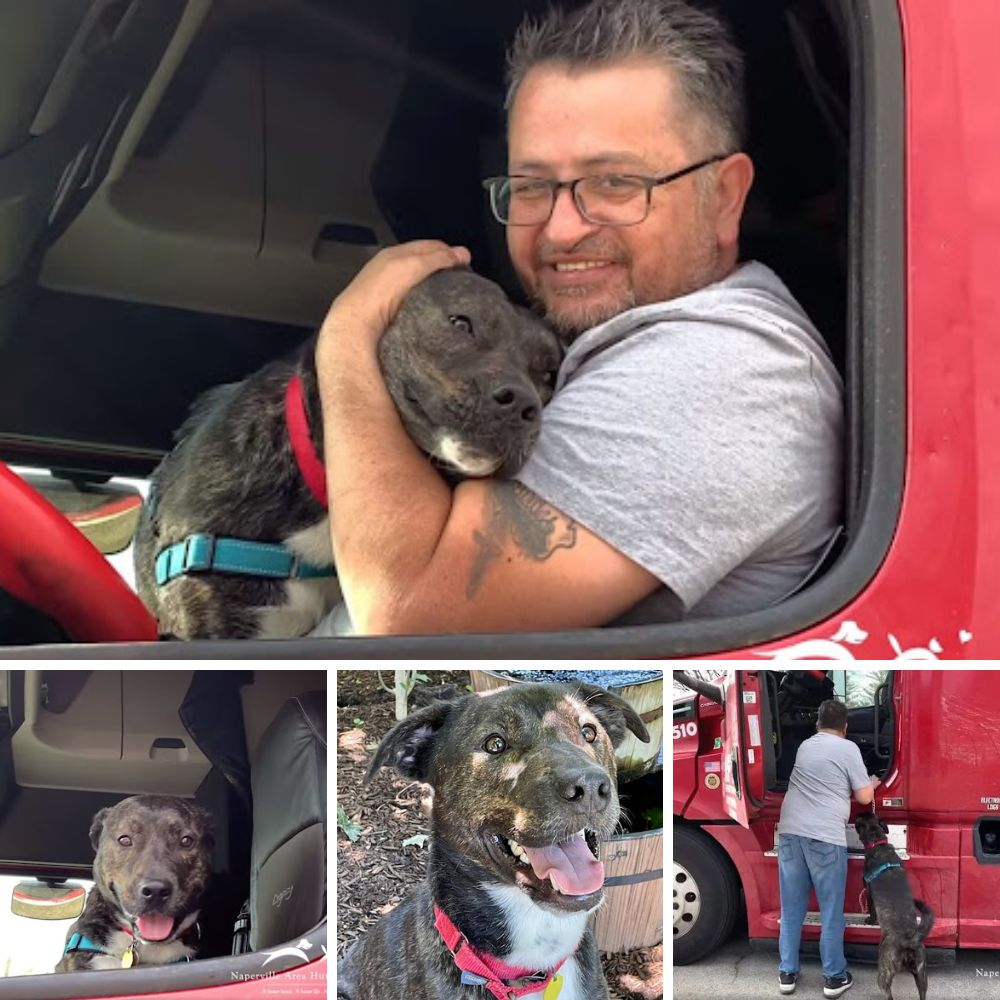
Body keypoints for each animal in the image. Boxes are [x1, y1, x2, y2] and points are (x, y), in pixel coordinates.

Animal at [852, 812, 936, 1000]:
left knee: (887, 992)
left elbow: (872, 911)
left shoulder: (869, 892)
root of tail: (910, 940)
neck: (878, 842)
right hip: (922, 975)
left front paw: (870, 921)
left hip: (884, 972)